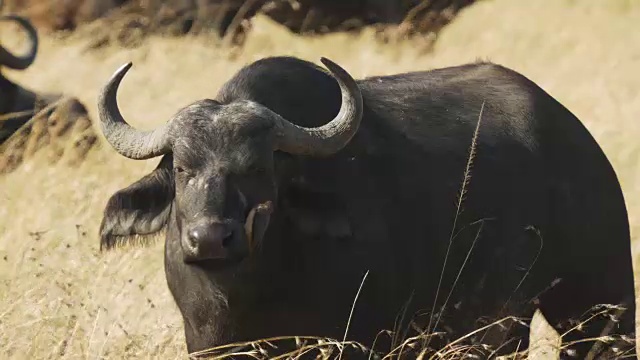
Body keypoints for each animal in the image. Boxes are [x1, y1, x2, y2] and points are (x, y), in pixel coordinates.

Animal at [95, 55, 636, 358]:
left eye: (259, 167)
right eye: (183, 167)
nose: (210, 238)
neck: (253, 287)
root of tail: (579, 142)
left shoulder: (354, 340)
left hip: (598, 301)